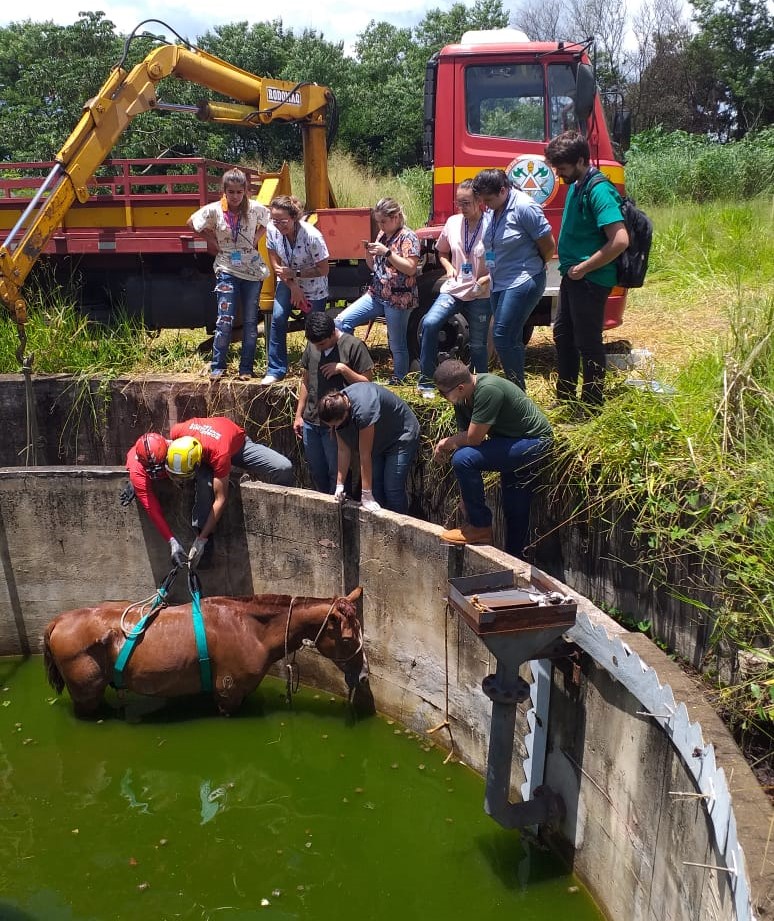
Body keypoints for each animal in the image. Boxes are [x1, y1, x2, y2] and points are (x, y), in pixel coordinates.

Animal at [43, 584, 366, 716]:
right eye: (348, 640)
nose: (363, 676)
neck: (252, 629)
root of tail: (59, 619)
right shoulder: (228, 695)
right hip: (85, 694)